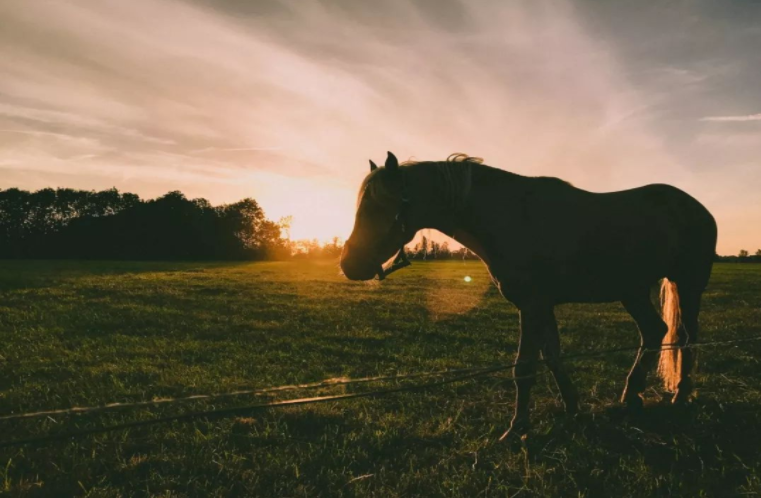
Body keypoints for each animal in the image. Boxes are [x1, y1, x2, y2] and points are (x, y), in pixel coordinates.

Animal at [342, 152, 716, 440]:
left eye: (379, 207)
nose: (349, 264)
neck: (512, 218)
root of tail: (696, 207)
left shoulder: (532, 305)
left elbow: (524, 368)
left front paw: (517, 429)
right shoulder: (541, 307)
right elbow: (552, 358)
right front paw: (573, 409)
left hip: (688, 284)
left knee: (686, 337)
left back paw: (680, 395)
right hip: (632, 291)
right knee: (654, 331)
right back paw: (632, 396)